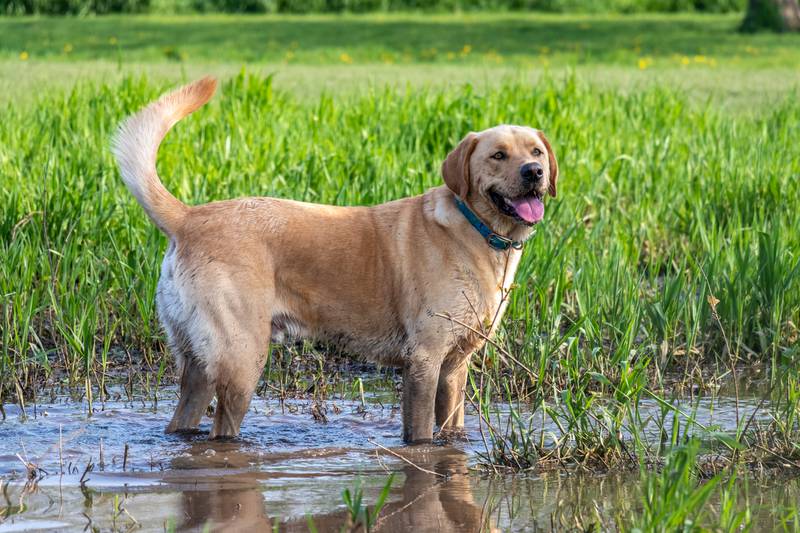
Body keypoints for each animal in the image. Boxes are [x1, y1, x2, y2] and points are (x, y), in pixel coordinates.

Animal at [112, 75, 556, 440]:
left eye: (535, 151)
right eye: (498, 155)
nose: (534, 172)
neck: (479, 233)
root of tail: (188, 217)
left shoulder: (454, 367)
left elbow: (453, 426)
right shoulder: (424, 361)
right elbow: (420, 434)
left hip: (200, 363)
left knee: (183, 420)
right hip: (241, 360)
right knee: (223, 429)